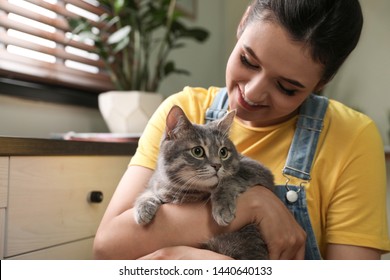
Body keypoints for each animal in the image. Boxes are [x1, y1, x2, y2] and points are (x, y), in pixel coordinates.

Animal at [134, 105, 274, 260]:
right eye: (197, 151)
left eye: (223, 152)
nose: (217, 165)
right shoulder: (157, 184)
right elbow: (147, 193)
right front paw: (143, 210)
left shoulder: (258, 170)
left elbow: (229, 180)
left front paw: (223, 207)